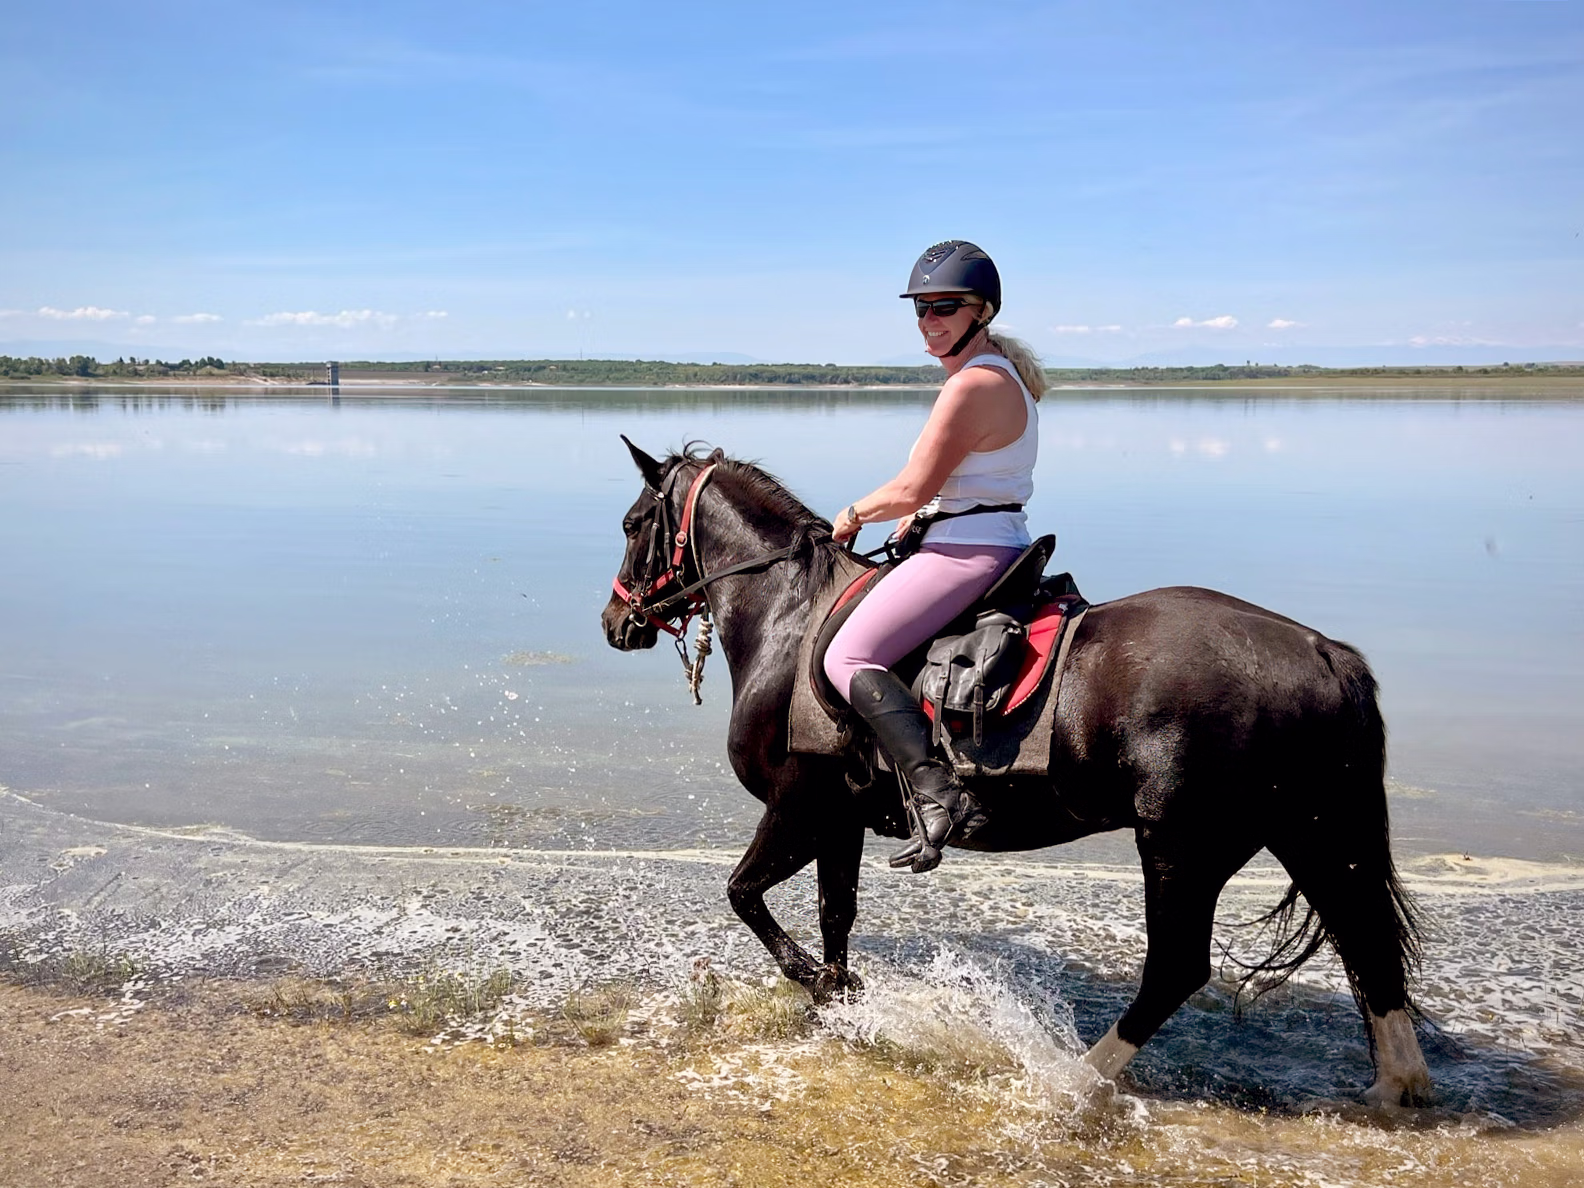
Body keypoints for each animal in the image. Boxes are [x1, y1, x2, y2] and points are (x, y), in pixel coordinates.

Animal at [601, 440, 1432, 1107]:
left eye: (633, 524)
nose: (616, 624)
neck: (790, 620)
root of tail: (1323, 651)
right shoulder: (840, 819)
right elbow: (837, 913)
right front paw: (839, 998)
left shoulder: (797, 807)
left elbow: (743, 894)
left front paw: (819, 984)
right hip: (1311, 831)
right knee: (1363, 937)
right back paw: (1397, 1084)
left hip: (1184, 846)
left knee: (1178, 968)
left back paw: (1076, 1078)